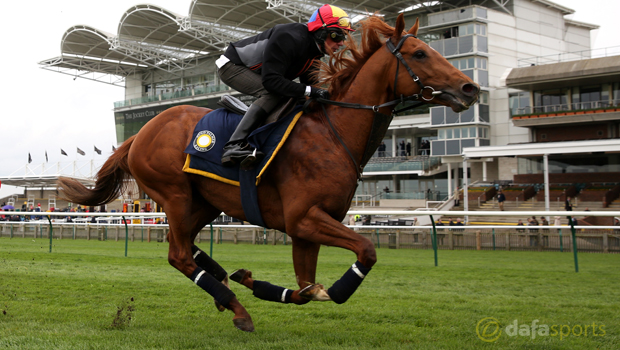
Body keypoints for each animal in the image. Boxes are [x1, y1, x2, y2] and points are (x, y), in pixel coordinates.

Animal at [58, 14, 478, 330]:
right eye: (420, 53)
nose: (469, 88)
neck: (333, 132)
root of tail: (140, 132)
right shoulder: (304, 218)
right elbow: (366, 252)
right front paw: (322, 290)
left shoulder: (309, 228)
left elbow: (306, 289)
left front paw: (256, 281)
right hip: (174, 194)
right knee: (179, 255)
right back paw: (235, 307)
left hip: (204, 202)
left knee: (187, 246)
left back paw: (225, 281)